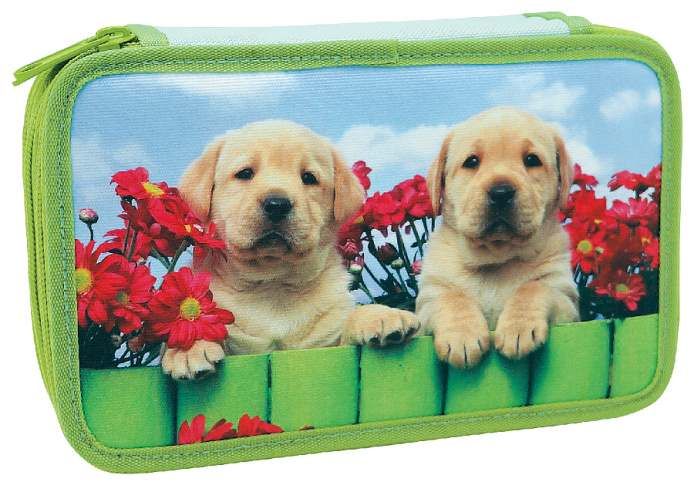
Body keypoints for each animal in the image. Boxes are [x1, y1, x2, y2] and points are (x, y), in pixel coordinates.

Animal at [162, 120, 419, 379]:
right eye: (245, 173)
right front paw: (189, 348)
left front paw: (382, 315)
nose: (277, 204)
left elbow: (348, 321)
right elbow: (201, 327)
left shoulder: (328, 341)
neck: (273, 283)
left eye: (309, 177)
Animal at [416, 107, 579, 369]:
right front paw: (462, 336)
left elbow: (535, 287)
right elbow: (451, 297)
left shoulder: (566, 299)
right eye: (472, 161)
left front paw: (518, 327)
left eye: (532, 160)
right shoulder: (427, 302)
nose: (501, 192)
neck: (496, 261)